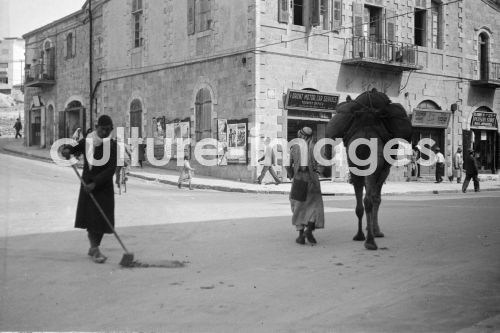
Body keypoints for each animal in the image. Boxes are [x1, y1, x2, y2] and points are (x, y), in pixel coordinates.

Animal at [326, 88, 412, 249]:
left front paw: (369, 228)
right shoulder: (384, 170)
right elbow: (377, 198)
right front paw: (376, 230)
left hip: (355, 166)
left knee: (361, 202)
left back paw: (360, 235)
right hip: (374, 166)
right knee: (369, 199)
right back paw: (370, 241)